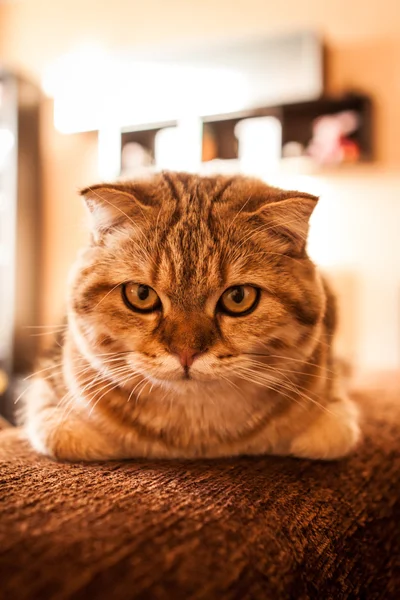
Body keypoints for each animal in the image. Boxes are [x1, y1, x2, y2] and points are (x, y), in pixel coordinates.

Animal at [21, 171, 360, 462]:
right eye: (141, 295)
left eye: (239, 297)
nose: (185, 353)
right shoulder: (48, 398)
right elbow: (65, 435)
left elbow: (329, 436)